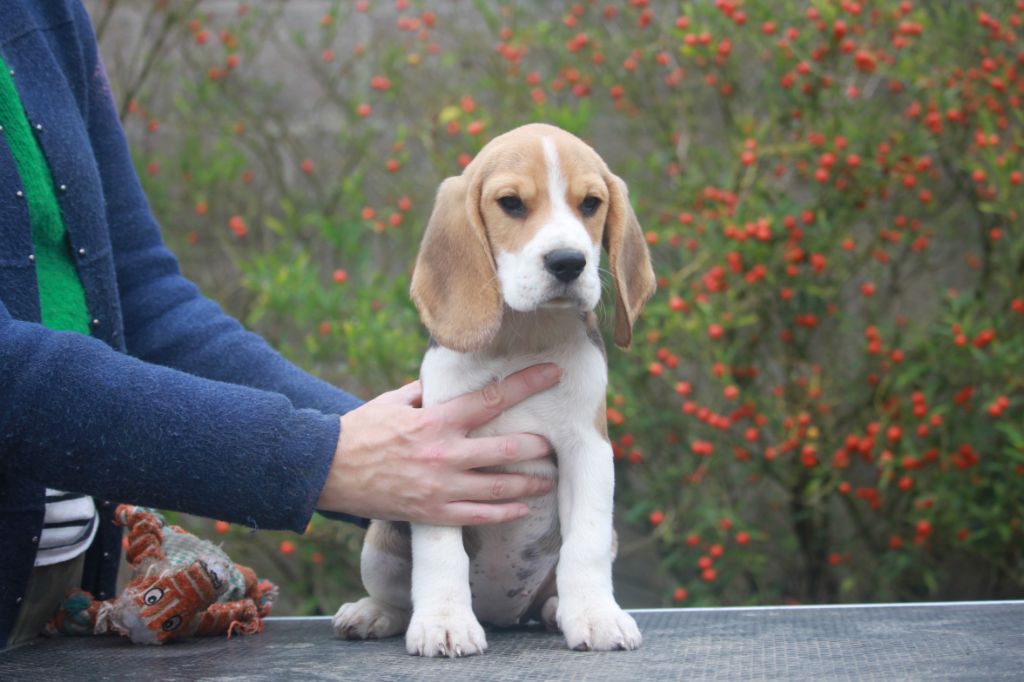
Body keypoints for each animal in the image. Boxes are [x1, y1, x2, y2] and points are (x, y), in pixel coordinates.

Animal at [335, 120, 655, 655]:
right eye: (511, 204)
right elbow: (441, 552)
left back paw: (556, 610)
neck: (522, 337)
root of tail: (501, 612)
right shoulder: (438, 458)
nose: (568, 262)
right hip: (379, 543)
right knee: (395, 596)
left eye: (591, 204)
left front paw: (594, 614)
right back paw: (374, 612)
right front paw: (444, 621)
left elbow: (585, 544)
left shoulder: (587, 450)